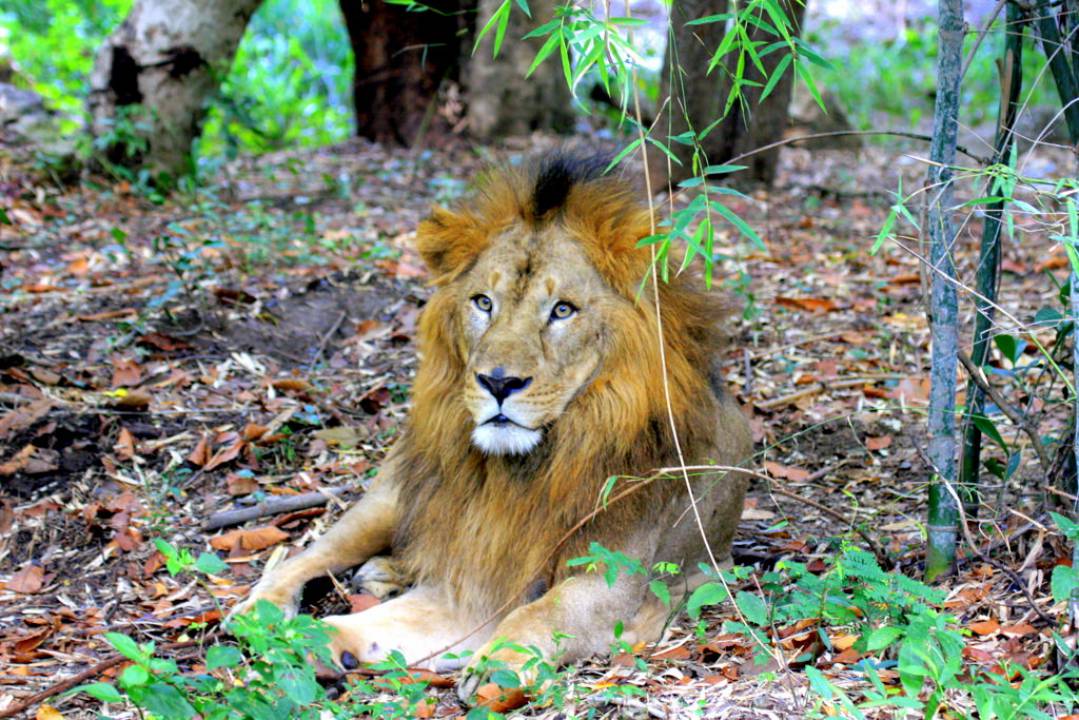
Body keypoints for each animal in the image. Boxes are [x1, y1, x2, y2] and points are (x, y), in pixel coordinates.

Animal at [229, 153, 750, 703]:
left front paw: (498, 665)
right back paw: (266, 609)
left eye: (562, 310)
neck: (531, 464)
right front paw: (304, 638)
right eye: (483, 303)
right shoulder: (481, 577)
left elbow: (542, 611)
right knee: (319, 549)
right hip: (392, 496)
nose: (499, 382)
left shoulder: (614, 580)